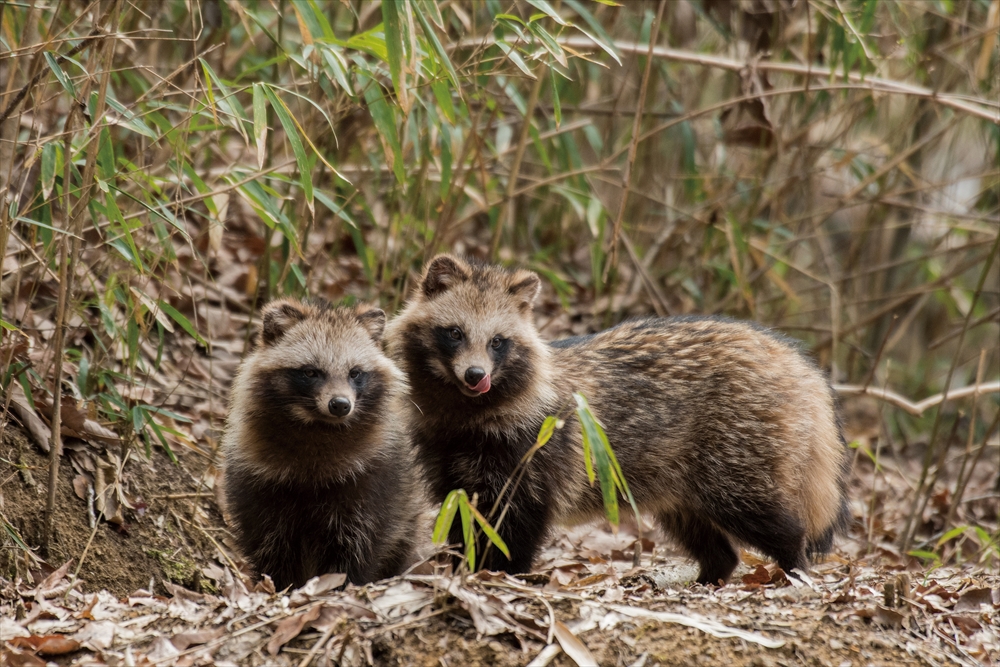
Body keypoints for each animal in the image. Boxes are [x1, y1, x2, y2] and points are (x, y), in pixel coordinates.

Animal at [224, 298, 422, 588]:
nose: (340, 405)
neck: (320, 427)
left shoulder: (374, 475)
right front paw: (282, 584)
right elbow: (269, 541)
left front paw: (342, 582)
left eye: (355, 373)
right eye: (310, 372)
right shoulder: (258, 477)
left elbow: (360, 541)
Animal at [386, 256, 848, 584]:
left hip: (737, 451)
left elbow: (517, 525)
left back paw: (793, 562)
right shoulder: (449, 460)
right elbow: (462, 519)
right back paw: (712, 573)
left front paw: (500, 575)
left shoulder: (532, 454)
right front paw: (468, 571)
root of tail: (793, 360)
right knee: (707, 536)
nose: (475, 376)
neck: (466, 412)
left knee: (761, 513)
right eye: (455, 333)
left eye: (498, 342)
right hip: (680, 480)